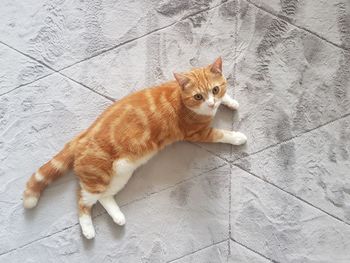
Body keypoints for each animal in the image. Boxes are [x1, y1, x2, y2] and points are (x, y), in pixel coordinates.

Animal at [22, 57, 246, 239]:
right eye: (198, 96)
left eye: (215, 90)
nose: (211, 103)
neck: (180, 97)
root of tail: (81, 137)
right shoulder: (197, 134)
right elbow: (222, 134)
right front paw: (238, 136)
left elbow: (226, 97)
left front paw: (231, 101)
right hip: (98, 177)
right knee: (83, 201)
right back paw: (88, 230)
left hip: (121, 174)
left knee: (104, 197)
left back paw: (118, 217)